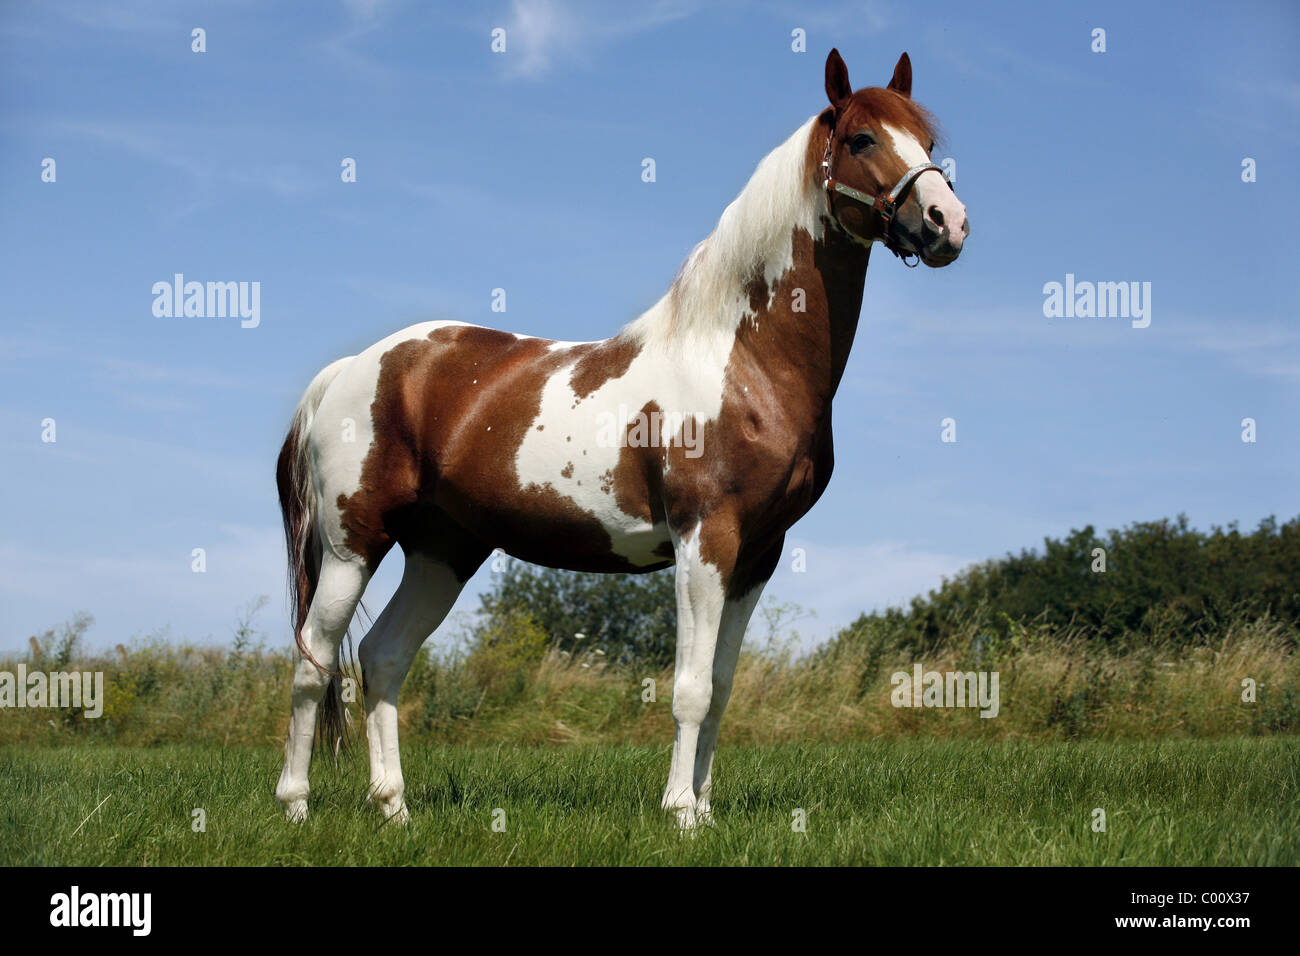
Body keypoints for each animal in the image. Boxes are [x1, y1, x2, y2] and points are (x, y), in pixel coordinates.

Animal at [271, 48, 967, 827]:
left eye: (928, 141)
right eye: (861, 139)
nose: (947, 222)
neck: (742, 359)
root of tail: (350, 369)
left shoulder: (758, 553)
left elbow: (721, 687)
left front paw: (704, 810)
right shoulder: (705, 539)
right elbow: (690, 687)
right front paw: (681, 814)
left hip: (442, 551)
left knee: (383, 655)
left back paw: (395, 810)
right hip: (351, 546)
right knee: (313, 660)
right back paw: (296, 806)